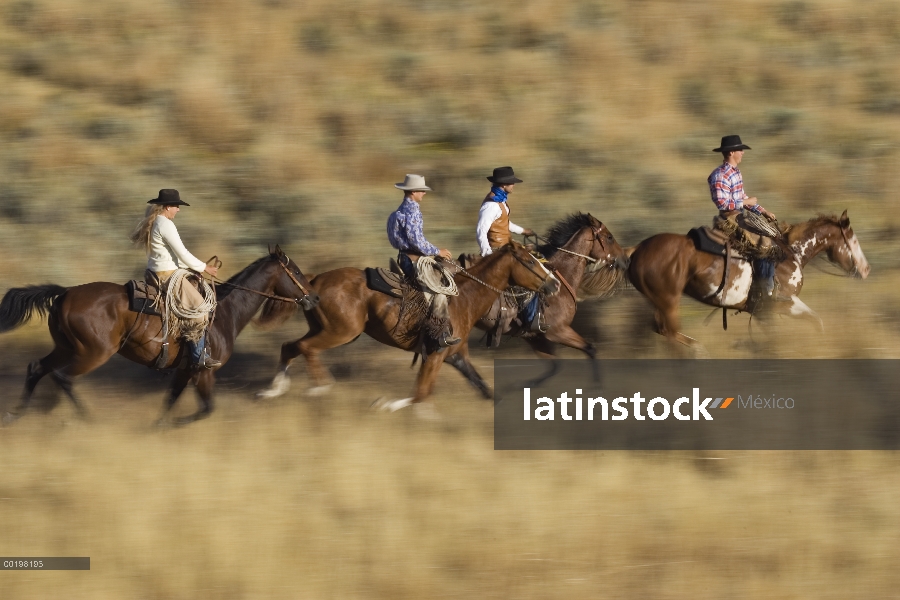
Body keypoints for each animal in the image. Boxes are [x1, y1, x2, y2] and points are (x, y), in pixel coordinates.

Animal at [0, 246, 318, 424]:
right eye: (296, 271)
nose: (313, 298)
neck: (226, 312)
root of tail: (65, 293)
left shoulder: (184, 370)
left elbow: (171, 401)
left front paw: (156, 427)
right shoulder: (203, 371)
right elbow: (206, 409)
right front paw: (169, 425)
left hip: (65, 348)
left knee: (37, 368)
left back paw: (15, 415)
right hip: (92, 353)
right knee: (63, 377)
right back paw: (87, 420)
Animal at [253, 241, 560, 414]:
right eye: (530, 261)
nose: (554, 283)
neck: (465, 298)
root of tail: (314, 281)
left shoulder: (455, 356)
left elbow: (483, 388)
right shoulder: (435, 355)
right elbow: (419, 395)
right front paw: (384, 405)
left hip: (323, 328)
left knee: (290, 346)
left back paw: (273, 390)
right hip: (339, 333)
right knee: (305, 348)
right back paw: (319, 388)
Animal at [624, 211, 872, 352]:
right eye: (853, 240)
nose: (866, 269)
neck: (791, 253)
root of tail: (638, 248)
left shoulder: (767, 311)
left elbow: (815, 322)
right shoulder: (780, 304)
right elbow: (803, 325)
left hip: (660, 300)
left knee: (662, 330)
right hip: (669, 300)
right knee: (670, 332)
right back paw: (699, 352)